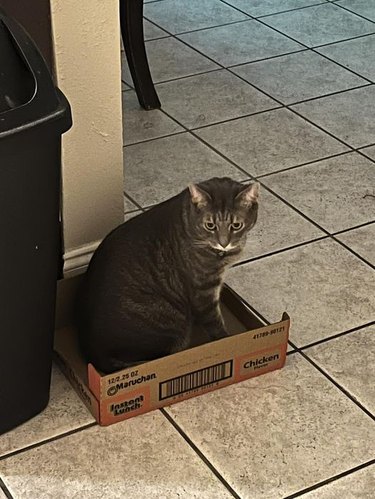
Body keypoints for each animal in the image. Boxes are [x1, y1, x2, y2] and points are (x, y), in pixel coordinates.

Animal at [78, 178, 260, 374]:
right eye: (210, 225)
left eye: (237, 225)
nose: (224, 243)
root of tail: (95, 355)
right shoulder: (204, 289)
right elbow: (214, 322)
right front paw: (227, 339)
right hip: (172, 328)